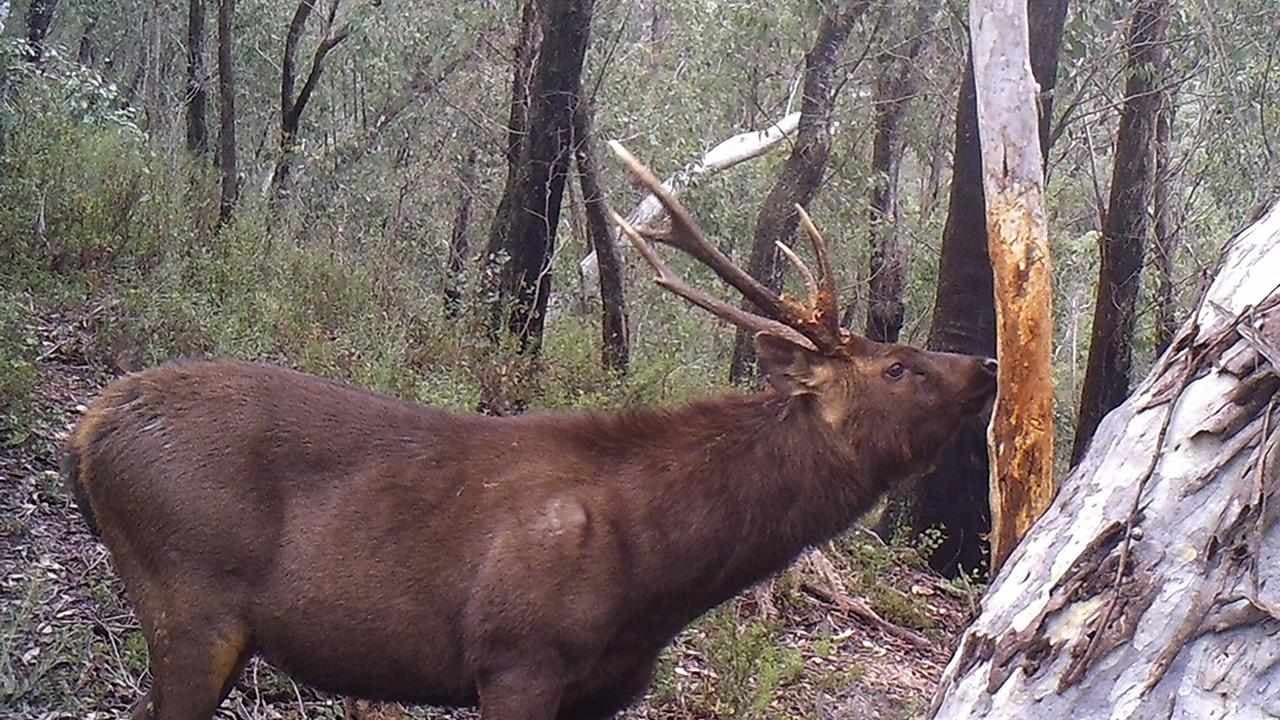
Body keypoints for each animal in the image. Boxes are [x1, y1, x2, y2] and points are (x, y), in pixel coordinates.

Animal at [62, 143, 997, 720]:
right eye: (897, 367)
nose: (986, 363)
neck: (662, 576)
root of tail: (89, 428)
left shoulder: (603, 691)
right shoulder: (517, 656)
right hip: (189, 595)